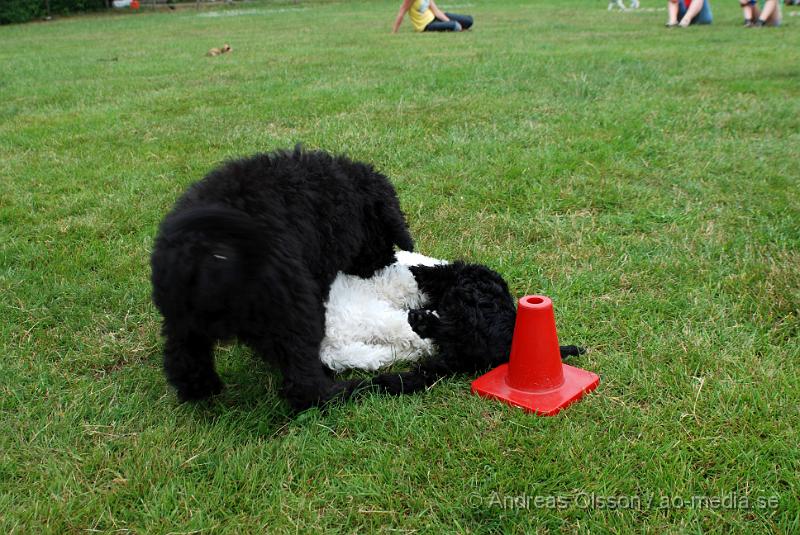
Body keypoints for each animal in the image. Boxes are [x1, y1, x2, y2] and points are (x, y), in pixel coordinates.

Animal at [148, 147, 412, 410]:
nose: (385, 265)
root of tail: (208, 255)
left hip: (180, 319)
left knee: (182, 358)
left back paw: (203, 392)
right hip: (292, 306)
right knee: (303, 379)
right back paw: (344, 390)